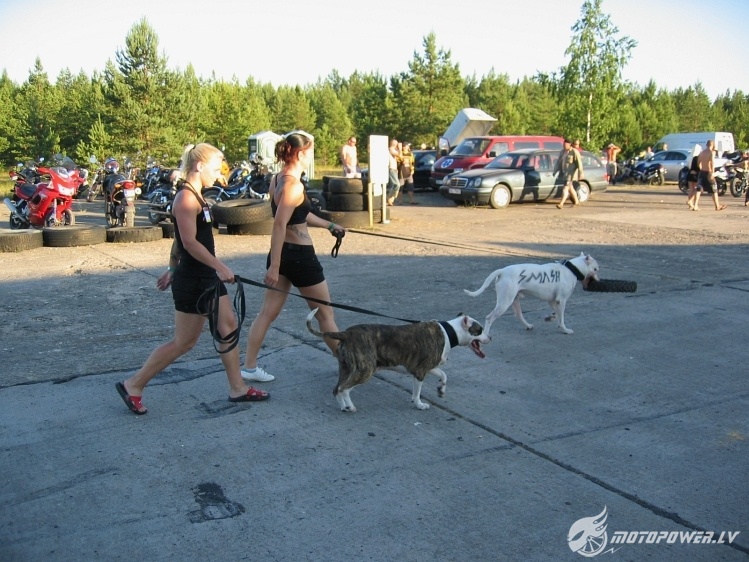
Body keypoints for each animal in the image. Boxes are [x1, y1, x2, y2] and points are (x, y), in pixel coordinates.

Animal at [306, 309, 490, 412]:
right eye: (479, 330)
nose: (490, 337)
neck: (449, 331)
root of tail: (346, 333)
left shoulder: (427, 367)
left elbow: (444, 375)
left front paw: (441, 389)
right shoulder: (420, 372)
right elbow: (417, 392)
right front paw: (419, 404)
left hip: (346, 368)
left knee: (336, 389)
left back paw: (344, 407)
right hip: (365, 370)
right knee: (343, 389)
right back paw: (349, 406)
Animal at [464, 252, 599, 336]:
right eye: (596, 269)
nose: (598, 281)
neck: (572, 269)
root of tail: (502, 271)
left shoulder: (553, 301)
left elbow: (557, 315)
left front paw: (552, 319)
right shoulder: (561, 300)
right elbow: (561, 317)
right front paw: (565, 329)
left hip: (514, 301)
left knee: (518, 315)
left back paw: (528, 325)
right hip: (504, 303)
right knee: (489, 318)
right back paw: (486, 335)